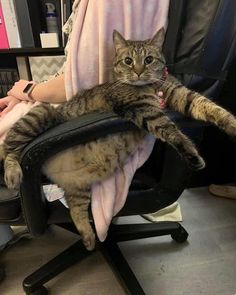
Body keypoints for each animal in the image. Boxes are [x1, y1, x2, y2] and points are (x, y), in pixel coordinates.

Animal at [0, 28, 236, 252]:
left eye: (149, 59)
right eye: (128, 61)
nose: (139, 71)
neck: (153, 86)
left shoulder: (182, 95)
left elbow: (209, 105)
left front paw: (232, 123)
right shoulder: (144, 110)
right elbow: (171, 130)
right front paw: (192, 153)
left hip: (79, 186)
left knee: (75, 209)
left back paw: (88, 237)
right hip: (41, 116)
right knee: (10, 148)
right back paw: (12, 173)